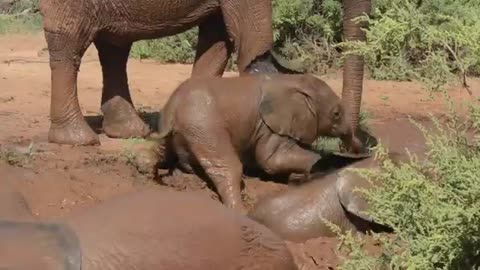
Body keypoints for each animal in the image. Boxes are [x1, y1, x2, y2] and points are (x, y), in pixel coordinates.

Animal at [137, 74, 362, 213]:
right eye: (336, 114)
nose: (355, 149)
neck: (294, 80)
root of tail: (173, 108)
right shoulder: (270, 125)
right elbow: (271, 160)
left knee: (161, 152)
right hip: (204, 125)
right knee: (229, 169)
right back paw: (240, 211)